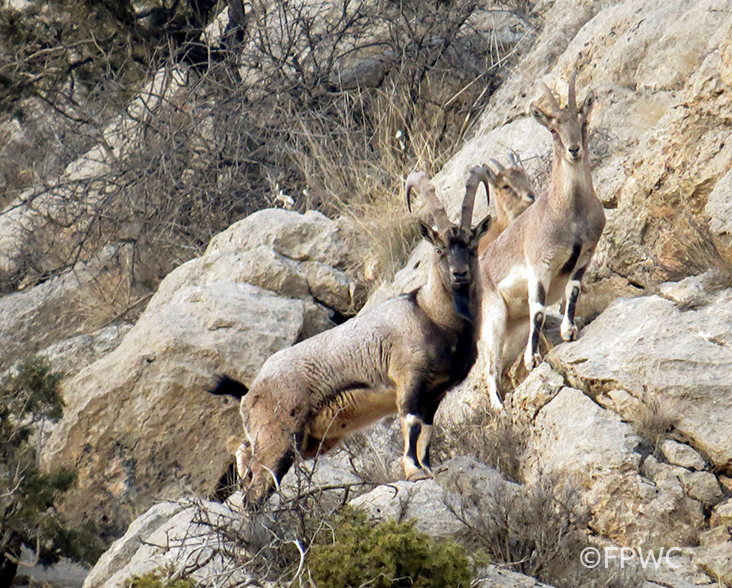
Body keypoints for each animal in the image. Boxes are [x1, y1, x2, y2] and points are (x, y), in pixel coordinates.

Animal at [211, 167, 492, 506]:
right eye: (439, 250)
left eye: (472, 246)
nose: (459, 275)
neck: (431, 314)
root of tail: (251, 391)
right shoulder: (409, 380)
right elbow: (411, 424)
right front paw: (413, 472)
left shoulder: (434, 394)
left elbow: (425, 433)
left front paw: (427, 469)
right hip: (278, 437)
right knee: (255, 490)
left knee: (246, 459)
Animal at [478, 72, 605, 410]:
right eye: (552, 128)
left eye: (583, 121)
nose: (574, 150)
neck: (570, 212)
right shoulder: (540, 266)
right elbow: (538, 309)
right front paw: (532, 360)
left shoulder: (584, 256)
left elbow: (572, 291)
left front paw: (569, 330)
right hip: (494, 317)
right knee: (490, 365)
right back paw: (499, 408)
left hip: (514, 326)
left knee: (500, 364)